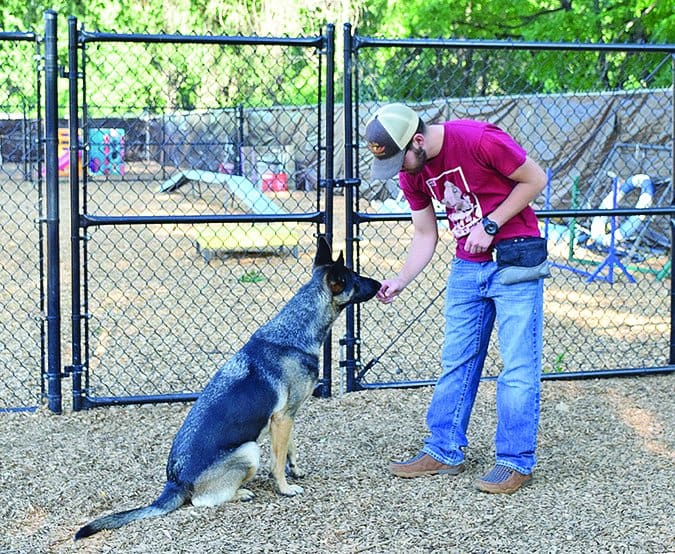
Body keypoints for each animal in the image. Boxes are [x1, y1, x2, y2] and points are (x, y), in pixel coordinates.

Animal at [75, 235, 380, 536]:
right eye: (356, 278)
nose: (379, 284)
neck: (294, 330)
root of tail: (175, 482)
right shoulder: (282, 418)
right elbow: (277, 461)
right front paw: (284, 488)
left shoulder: (286, 417)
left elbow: (289, 450)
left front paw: (295, 469)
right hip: (249, 450)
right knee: (201, 500)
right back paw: (241, 493)